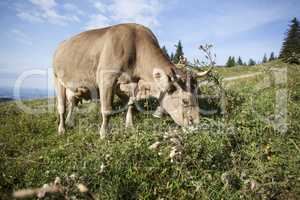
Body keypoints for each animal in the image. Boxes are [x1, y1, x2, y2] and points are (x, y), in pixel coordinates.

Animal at [53, 22, 206, 137]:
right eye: (185, 101)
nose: (196, 125)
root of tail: (60, 45)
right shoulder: (106, 78)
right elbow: (107, 109)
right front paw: (104, 133)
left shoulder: (133, 81)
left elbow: (131, 103)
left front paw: (129, 125)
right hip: (57, 79)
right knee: (62, 107)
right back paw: (62, 128)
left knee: (72, 102)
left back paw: (70, 122)